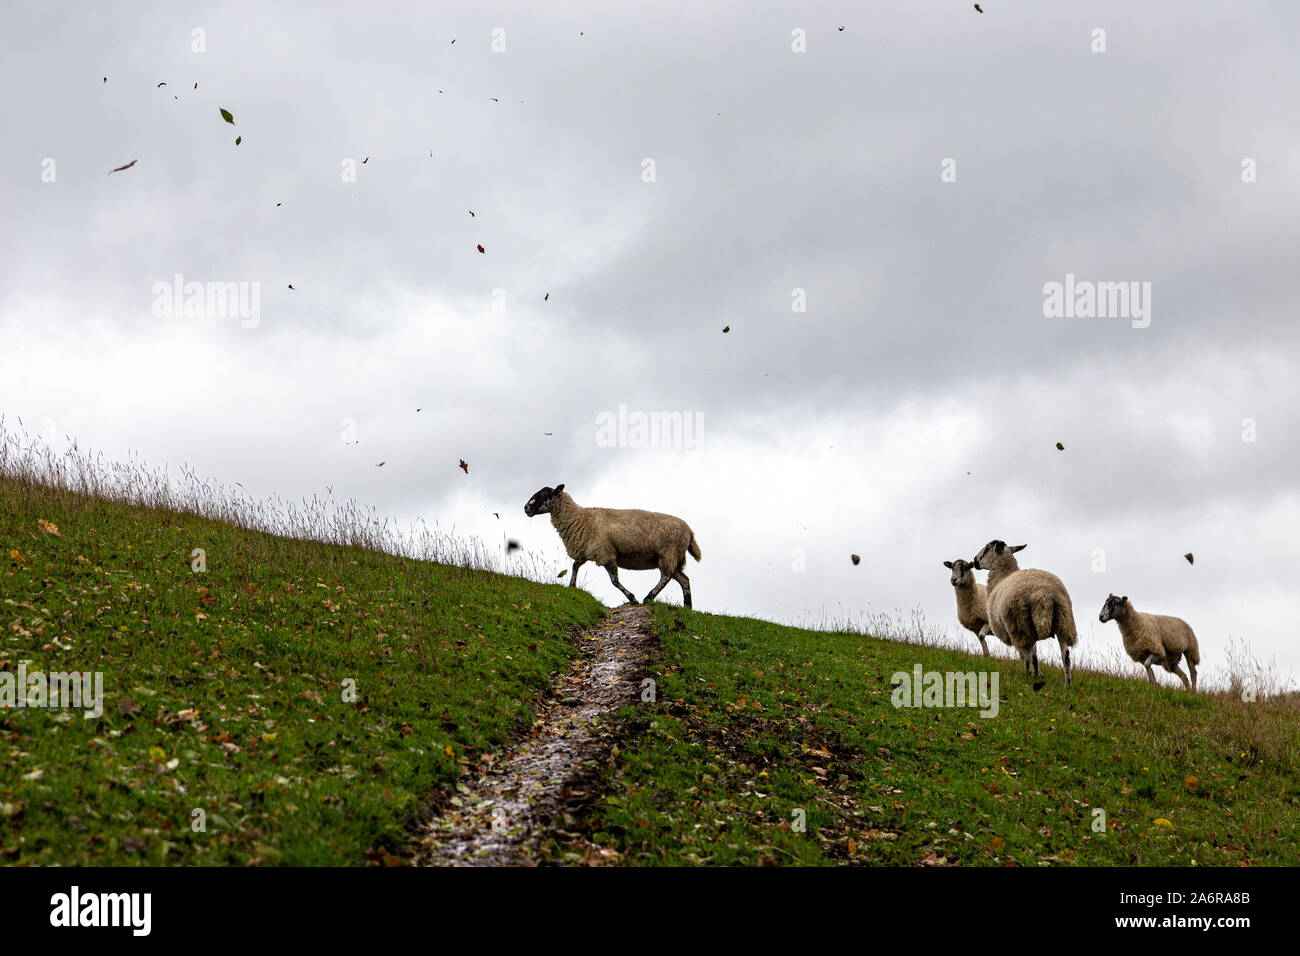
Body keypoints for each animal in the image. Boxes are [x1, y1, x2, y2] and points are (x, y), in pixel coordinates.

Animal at [522, 481, 702, 608]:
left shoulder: (606, 553)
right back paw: (687, 607)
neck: (579, 518)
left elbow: (614, 581)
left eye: (544, 494)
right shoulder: (586, 551)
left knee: (666, 576)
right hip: (674, 557)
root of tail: (689, 531)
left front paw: (632, 599)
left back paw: (648, 598)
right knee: (683, 579)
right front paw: (572, 587)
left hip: (668, 553)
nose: (526, 508)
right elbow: (574, 566)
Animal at [972, 538, 1081, 686]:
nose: (974, 560)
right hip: (1063, 621)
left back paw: (1034, 676)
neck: (1001, 576)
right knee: (1066, 656)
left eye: (987, 548)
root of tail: (1045, 594)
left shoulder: (1013, 631)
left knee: (1032, 656)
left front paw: (1029, 672)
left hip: (1021, 625)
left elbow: (1024, 655)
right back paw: (1067, 684)